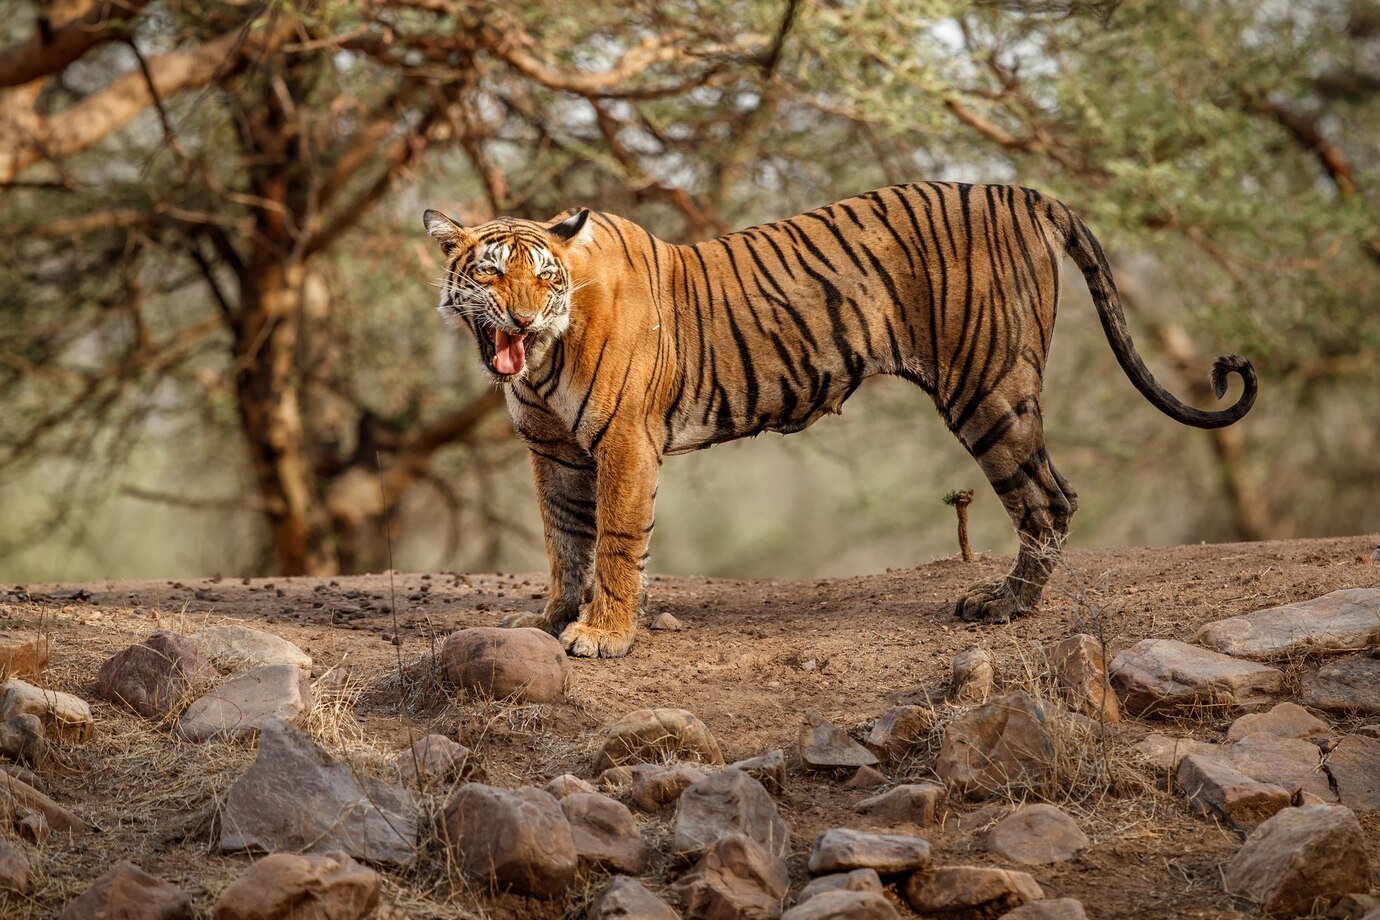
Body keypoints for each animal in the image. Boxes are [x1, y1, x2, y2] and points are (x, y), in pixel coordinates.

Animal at [425, 182, 1258, 653]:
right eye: (490, 274)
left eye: (545, 279)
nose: (523, 320)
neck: (540, 364)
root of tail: (1025, 193)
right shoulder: (553, 452)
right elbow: (565, 541)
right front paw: (551, 621)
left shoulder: (624, 442)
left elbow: (616, 543)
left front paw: (604, 635)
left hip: (989, 388)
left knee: (1049, 498)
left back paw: (1005, 605)